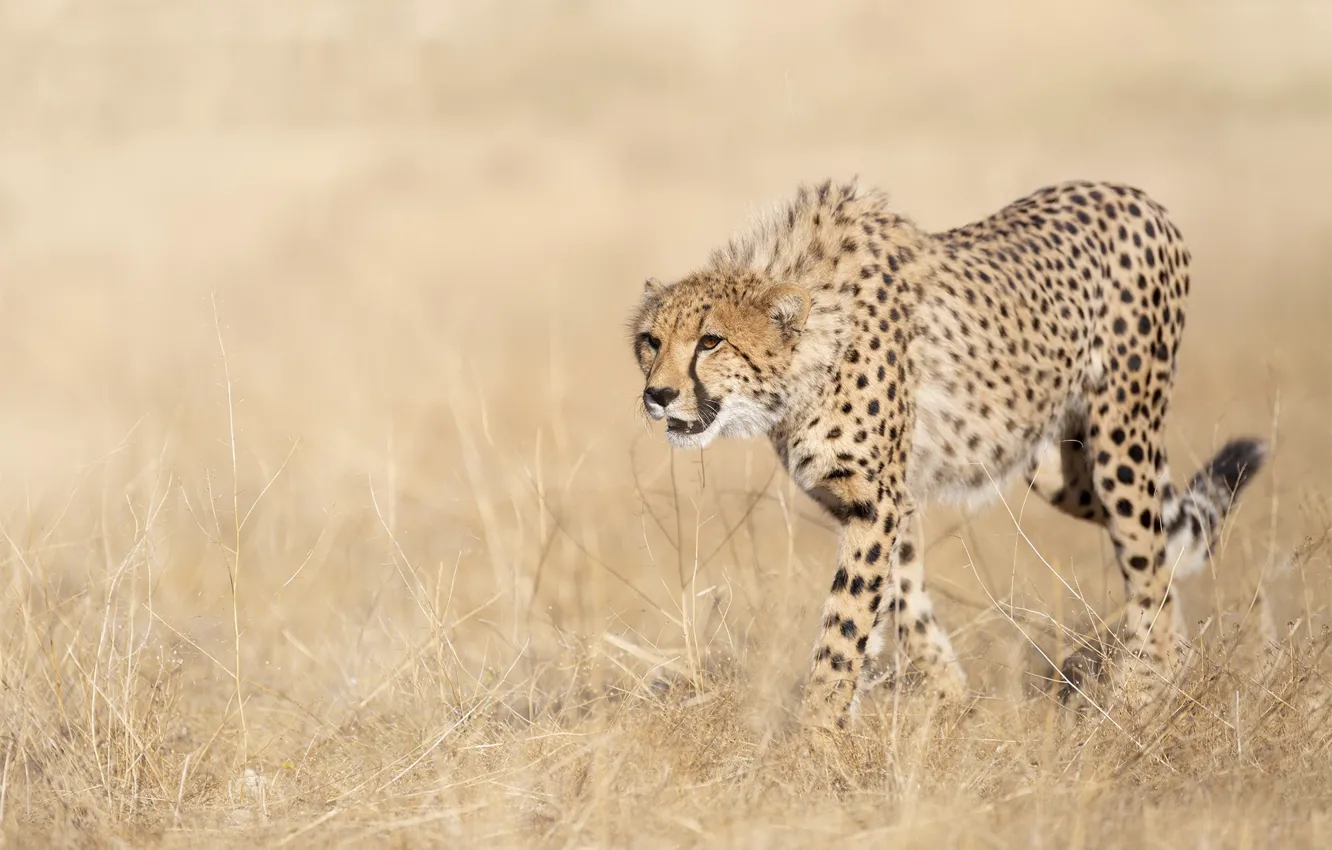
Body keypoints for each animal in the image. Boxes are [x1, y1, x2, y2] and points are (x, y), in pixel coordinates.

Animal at [628, 178, 1267, 730]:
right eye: (650, 341)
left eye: (711, 342)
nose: (657, 395)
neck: (813, 343)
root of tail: (1132, 193)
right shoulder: (880, 500)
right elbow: (901, 603)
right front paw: (949, 701)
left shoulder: (876, 501)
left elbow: (844, 625)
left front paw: (816, 738)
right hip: (1059, 465)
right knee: (1161, 549)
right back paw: (1169, 669)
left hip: (1121, 438)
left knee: (1148, 563)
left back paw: (1140, 697)